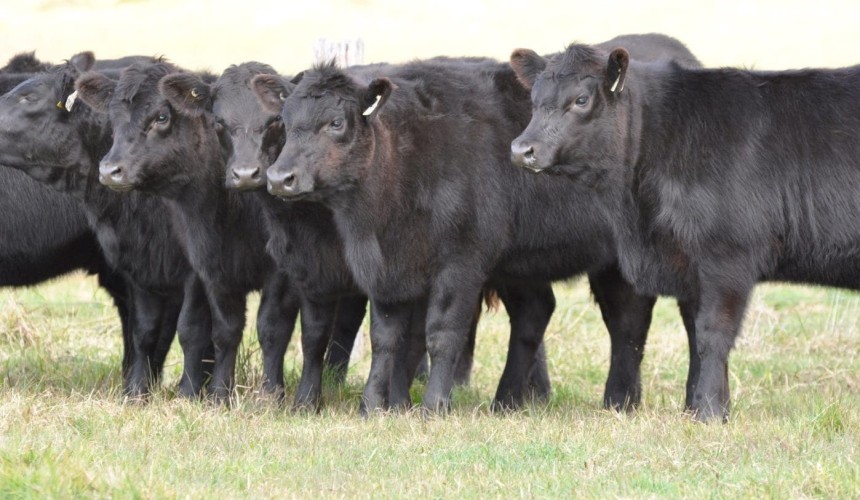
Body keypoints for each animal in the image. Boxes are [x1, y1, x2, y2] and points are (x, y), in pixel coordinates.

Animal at [0, 55, 217, 398]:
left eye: (29, 98)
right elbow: (145, 330)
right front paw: (138, 395)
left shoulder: (193, 269)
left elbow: (192, 328)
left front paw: (189, 395)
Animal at [509, 41, 860, 421]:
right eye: (534, 100)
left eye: (581, 100)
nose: (522, 149)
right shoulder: (688, 266)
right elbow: (693, 335)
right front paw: (695, 408)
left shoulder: (726, 258)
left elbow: (712, 333)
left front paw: (709, 412)